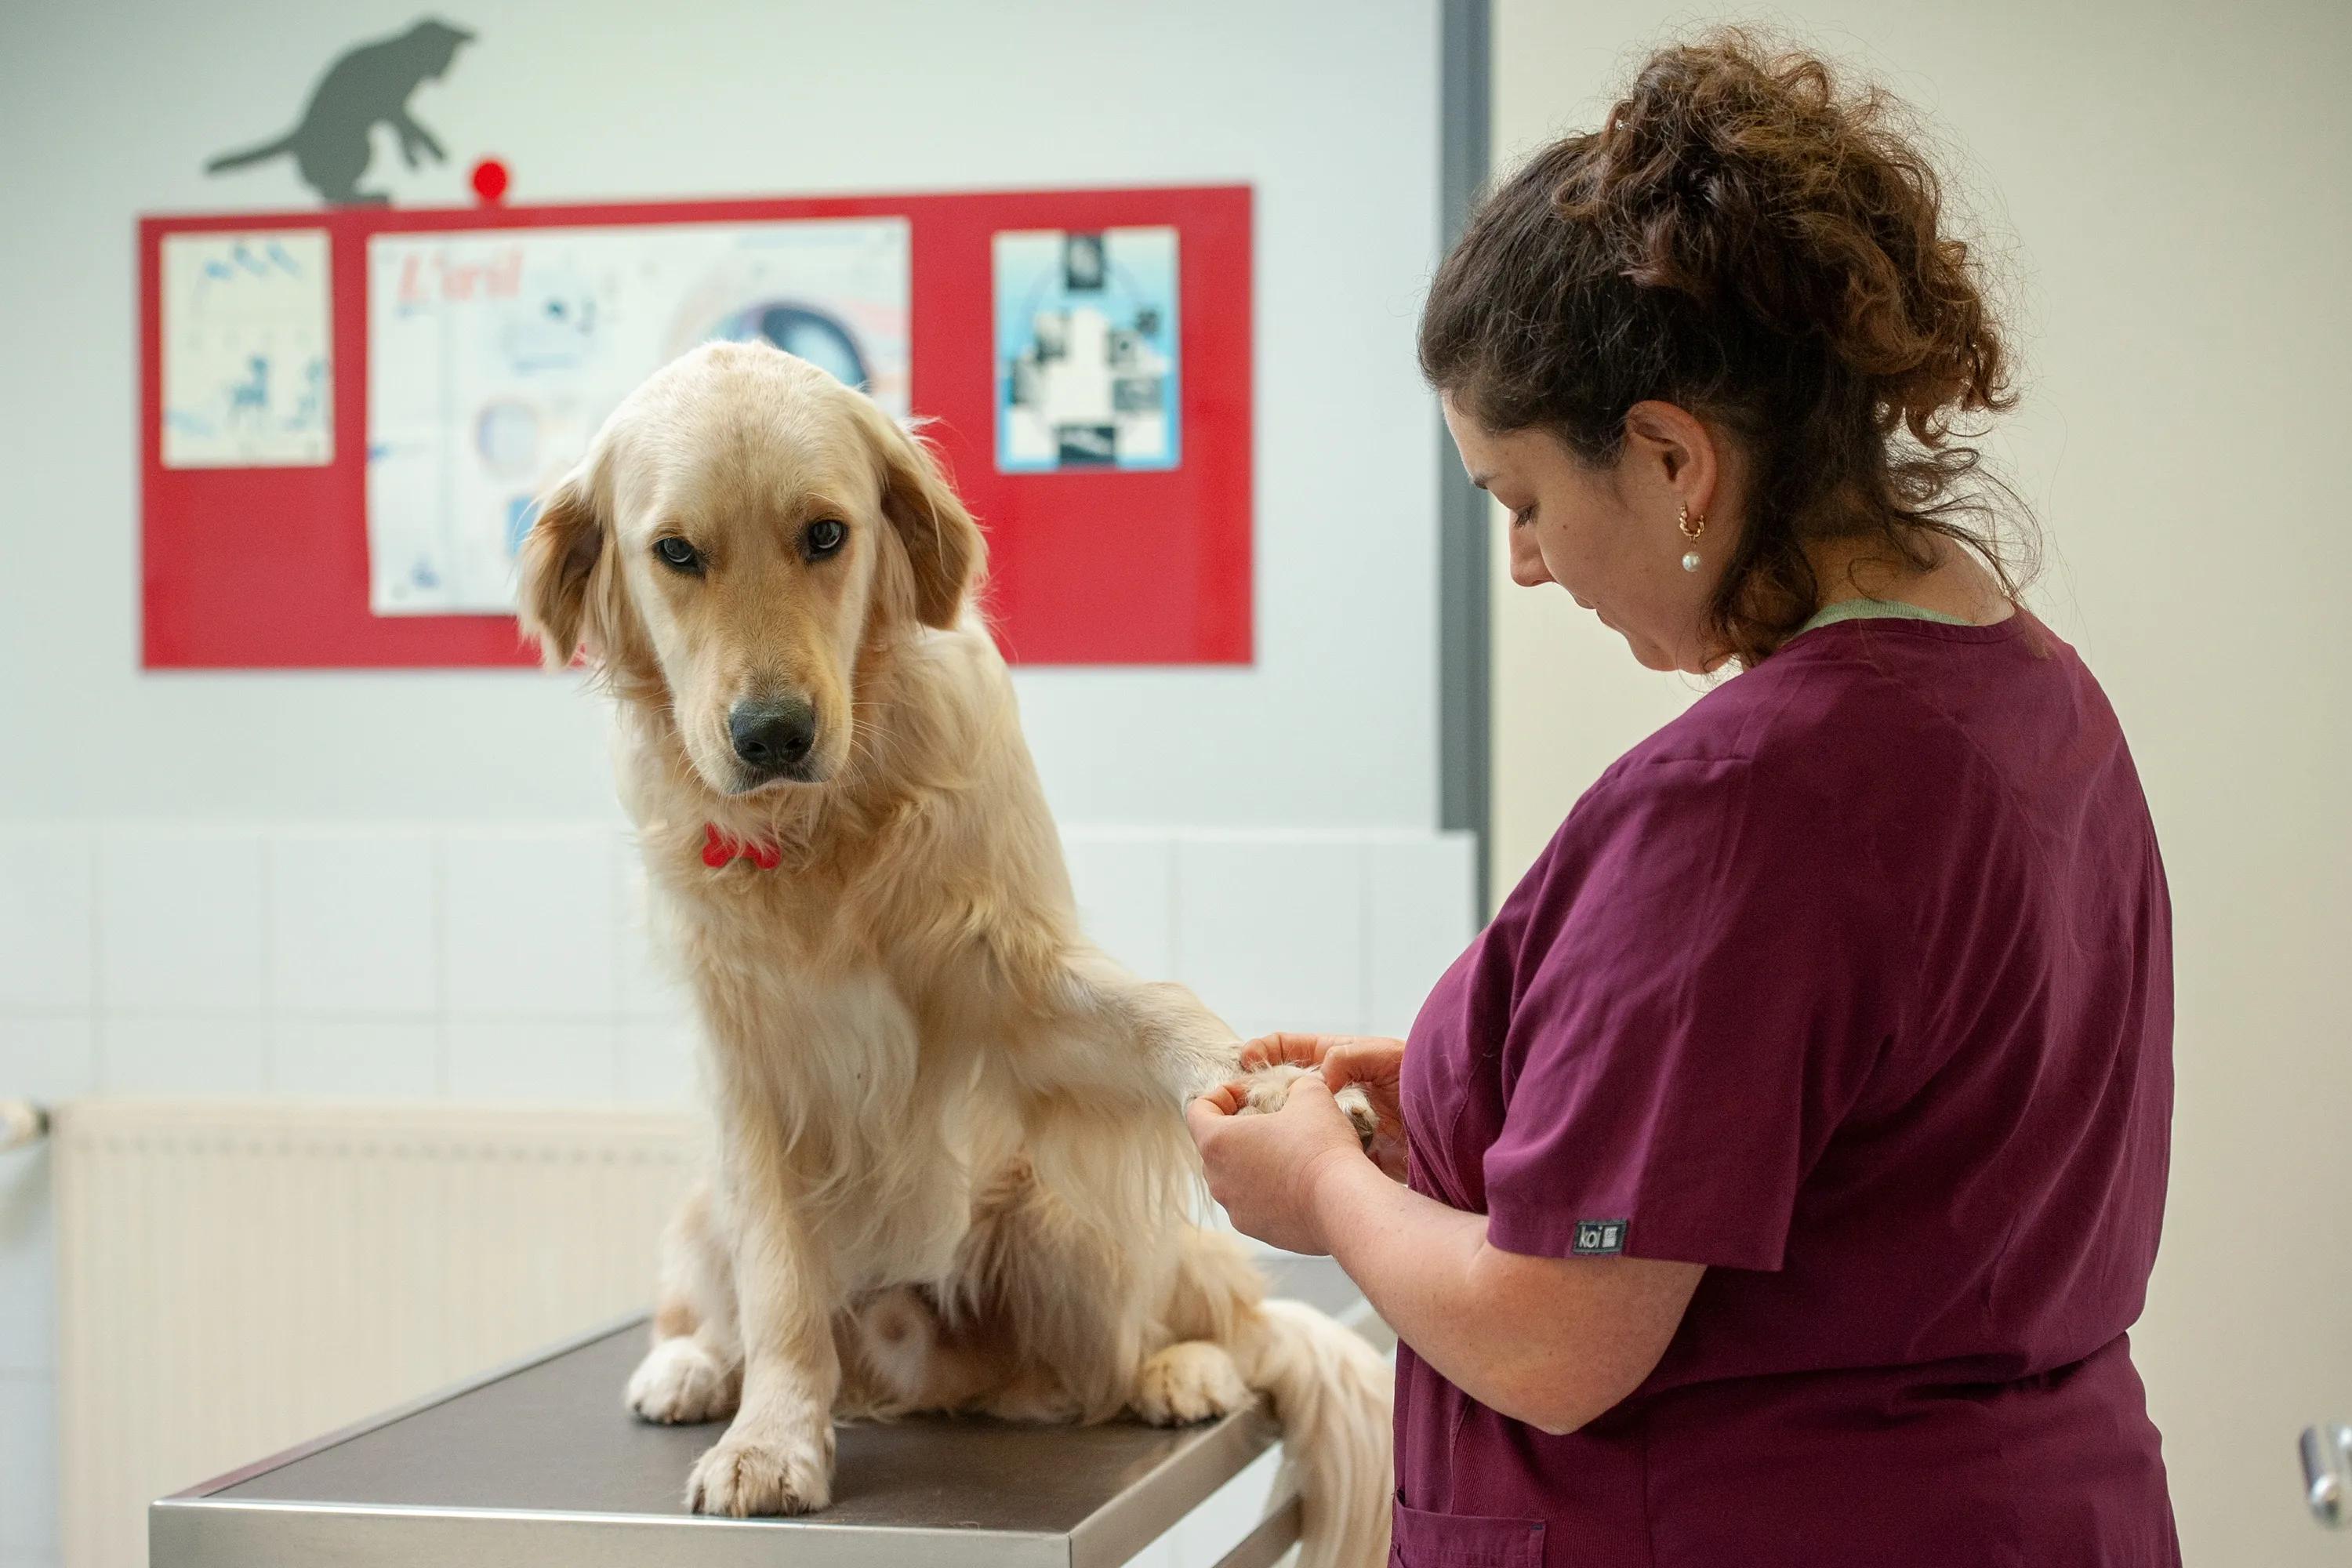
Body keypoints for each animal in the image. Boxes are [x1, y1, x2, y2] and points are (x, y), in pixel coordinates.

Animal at [517, 343, 1392, 1568]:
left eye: (825, 534)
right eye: (676, 553)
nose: (773, 735)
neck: (824, 829)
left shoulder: (1013, 973)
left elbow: (1165, 1012)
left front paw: (1271, 1091)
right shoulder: (748, 1061)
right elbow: (778, 1279)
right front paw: (772, 1438)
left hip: (1063, 1215)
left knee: (1179, 1334)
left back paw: (1183, 1365)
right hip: (701, 1208)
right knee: (724, 1300)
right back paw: (691, 1364)